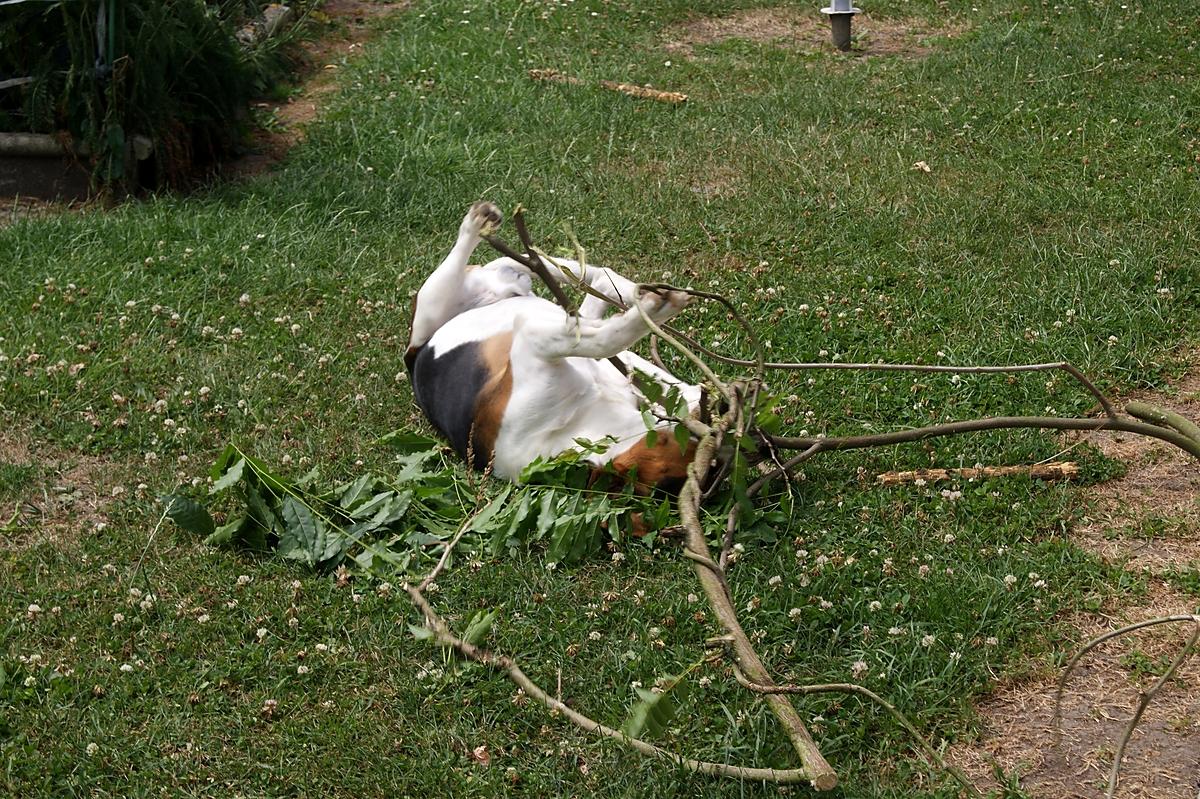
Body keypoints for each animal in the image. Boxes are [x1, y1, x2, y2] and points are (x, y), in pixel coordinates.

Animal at [405, 202, 700, 489]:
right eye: (669, 444)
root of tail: (414, 355)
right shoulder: (531, 342)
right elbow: (605, 341)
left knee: (589, 279)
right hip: (431, 306)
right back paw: (477, 223)